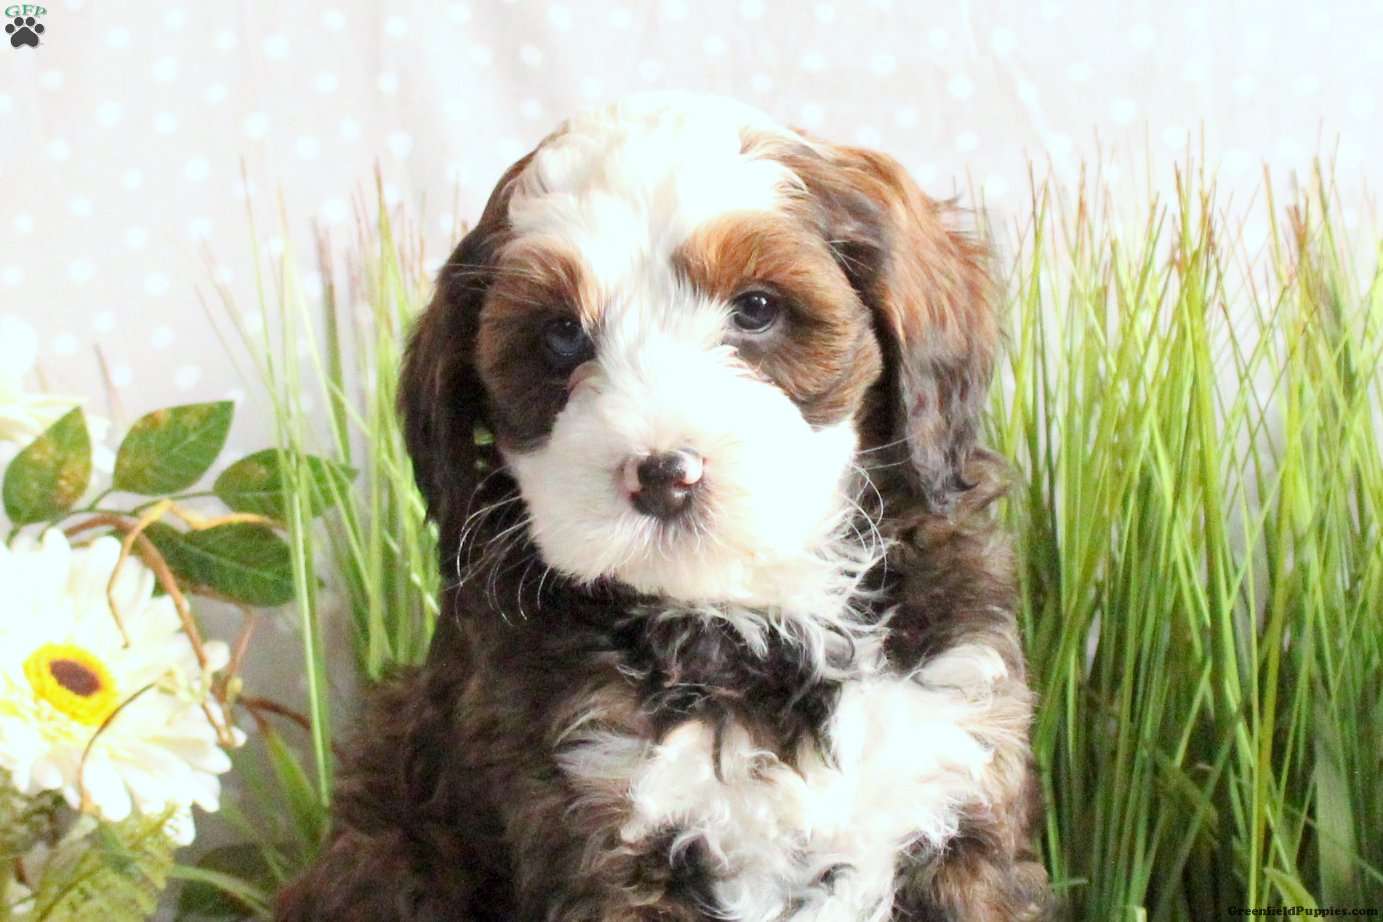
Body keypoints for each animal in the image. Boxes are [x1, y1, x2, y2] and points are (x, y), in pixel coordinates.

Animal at [276, 93, 1051, 922]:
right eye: (560, 335)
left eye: (756, 309)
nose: (663, 475)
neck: (750, 625)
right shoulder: (606, 822)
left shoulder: (960, 776)